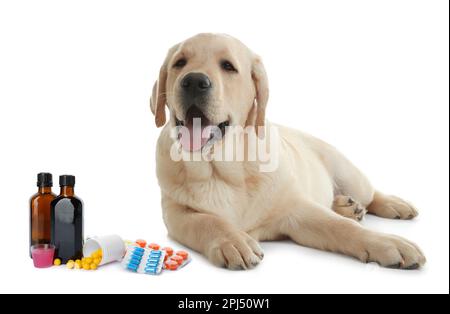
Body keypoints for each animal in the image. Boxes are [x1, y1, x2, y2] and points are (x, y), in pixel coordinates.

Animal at [150, 33, 426, 270]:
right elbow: (208, 221)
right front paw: (233, 241)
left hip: (349, 175)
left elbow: (341, 227)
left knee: (370, 194)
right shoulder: (175, 213)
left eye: (228, 66)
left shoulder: (296, 209)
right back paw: (347, 206)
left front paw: (388, 243)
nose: (194, 81)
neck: (221, 168)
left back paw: (392, 204)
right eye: (179, 63)